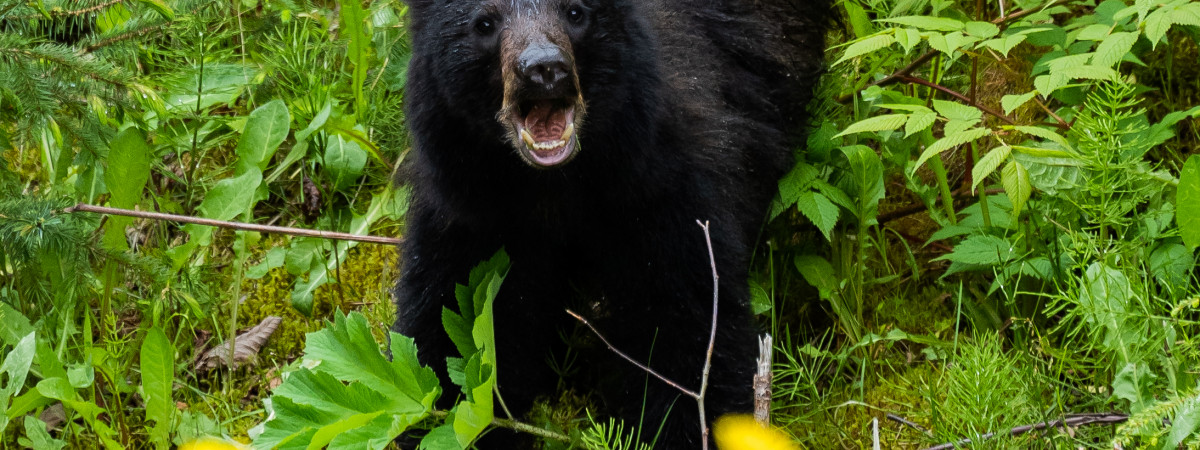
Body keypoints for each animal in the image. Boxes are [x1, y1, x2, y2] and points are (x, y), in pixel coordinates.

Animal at [393, 0, 825, 448]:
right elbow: (449, 329)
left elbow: (686, 320)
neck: (554, 189)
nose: (544, 68)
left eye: (576, 13)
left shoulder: (660, 188)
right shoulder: (469, 210)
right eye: (484, 23)